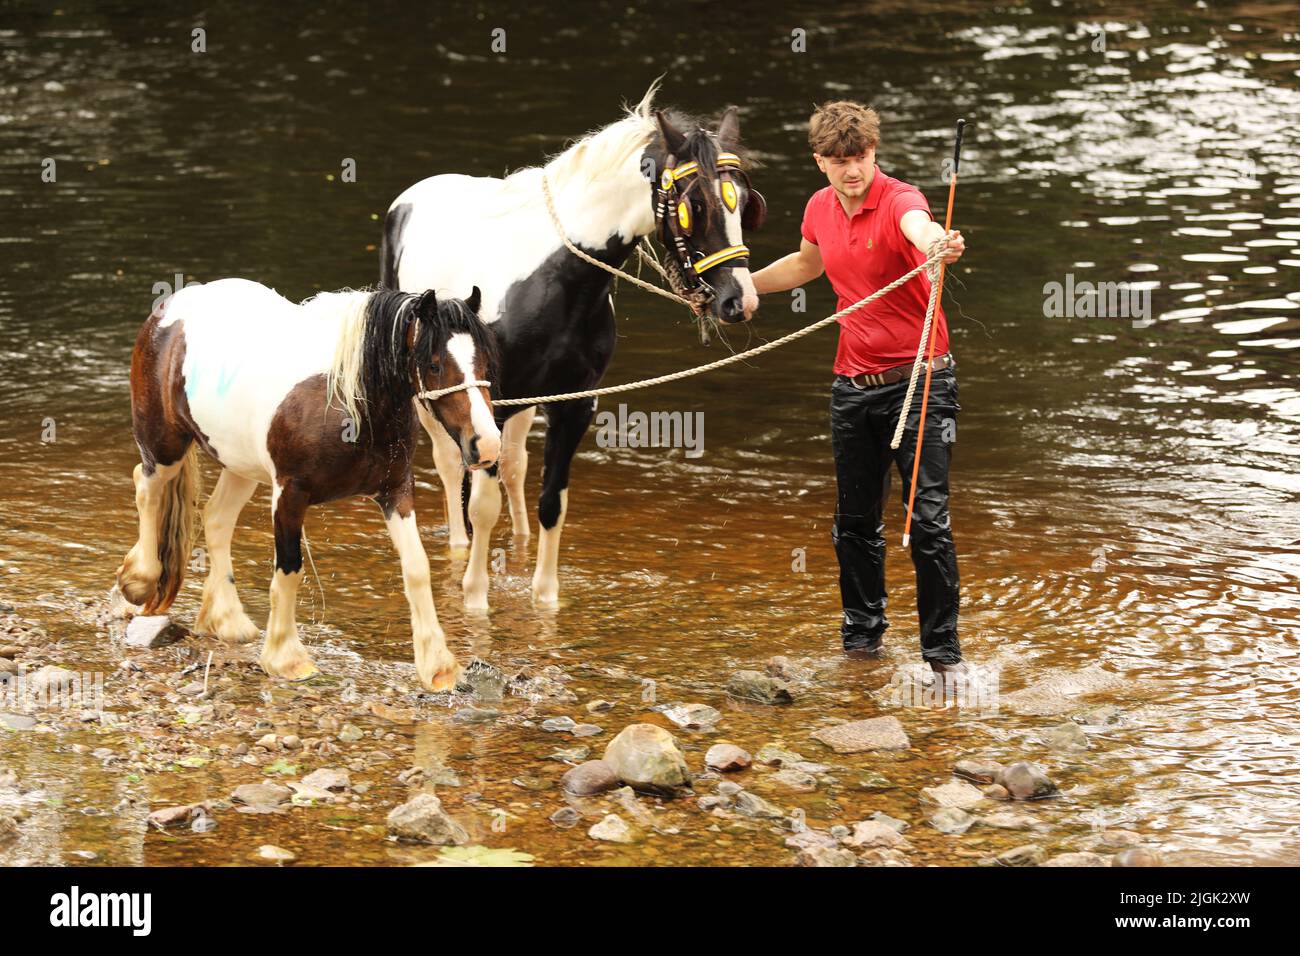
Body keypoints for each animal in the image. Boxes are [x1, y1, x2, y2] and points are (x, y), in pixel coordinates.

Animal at [115, 280, 496, 691]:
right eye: (435, 364)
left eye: (484, 363)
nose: (487, 444)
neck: (345, 400)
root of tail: (170, 306)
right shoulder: (290, 495)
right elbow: (289, 569)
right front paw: (287, 658)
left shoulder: (396, 492)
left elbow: (417, 568)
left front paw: (438, 666)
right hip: (164, 446)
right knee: (146, 488)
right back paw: (138, 581)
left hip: (240, 466)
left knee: (216, 518)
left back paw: (227, 620)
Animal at [379, 89, 759, 613]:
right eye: (694, 204)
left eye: (743, 200)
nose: (739, 300)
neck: (555, 278)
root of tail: (412, 196)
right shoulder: (491, 402)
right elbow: (483, 504)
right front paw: (475, 596)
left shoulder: (572, 404)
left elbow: (551, 503)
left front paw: (545, 598)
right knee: (451, 464)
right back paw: (457, 549)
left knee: (513, 466)